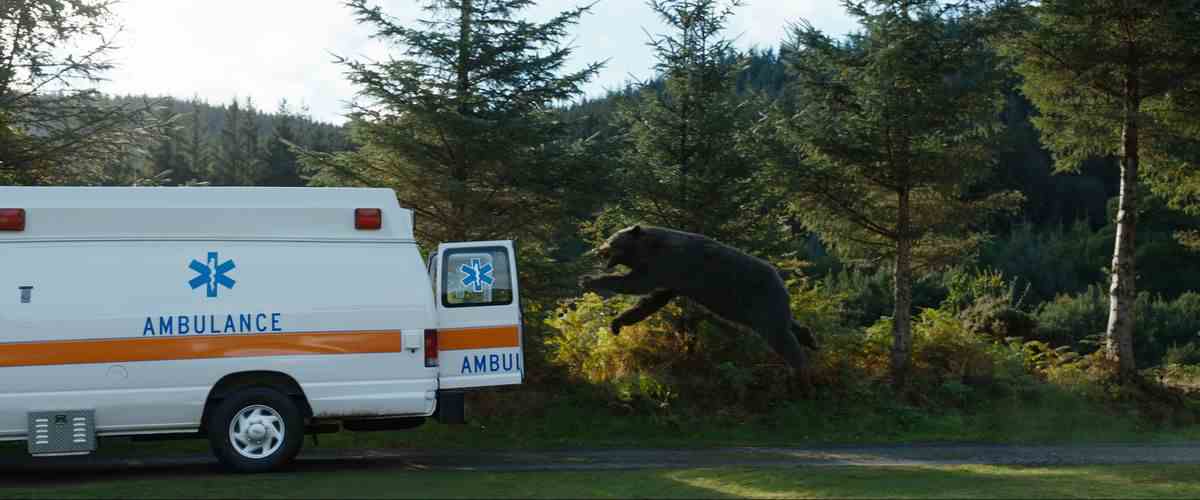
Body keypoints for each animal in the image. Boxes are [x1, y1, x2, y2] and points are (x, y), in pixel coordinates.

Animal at [578, 224, 820, 371]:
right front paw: (617, 322)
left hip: (759, 301)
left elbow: (635, 284)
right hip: (762, 306)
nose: (598, 249)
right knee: (789, 325)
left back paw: (801, 371)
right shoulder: (672, 279)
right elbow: (652, 300)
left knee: (780, 336)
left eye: (611, 240)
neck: (649, 248)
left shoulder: (667, 263)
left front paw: (589, 279)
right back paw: (810, 339)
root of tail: (781, 279)